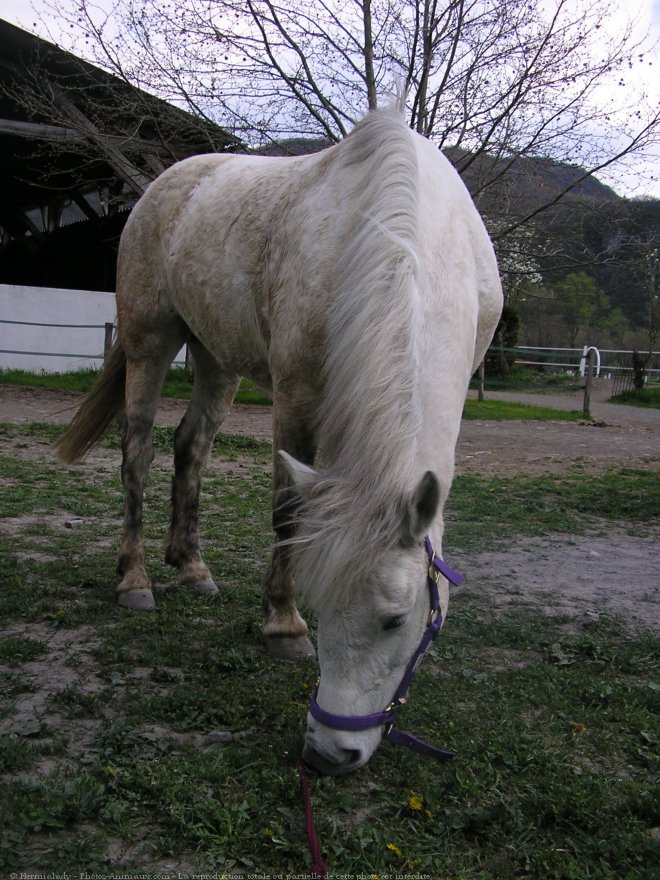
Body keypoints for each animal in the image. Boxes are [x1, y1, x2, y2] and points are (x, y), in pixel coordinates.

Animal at [56, 103, 502, 772]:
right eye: (319, 603)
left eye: (397, 620)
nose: (327, 753)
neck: (406, 236)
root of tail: (167, 184)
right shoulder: (296, 398)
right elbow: (288, 514)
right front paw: (284, 627)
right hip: (149, 340)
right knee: (138, 453)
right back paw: (135, 580)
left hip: (215, 356)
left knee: (191, 447)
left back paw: (191, 567)